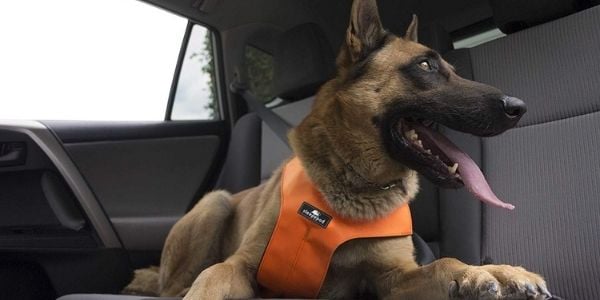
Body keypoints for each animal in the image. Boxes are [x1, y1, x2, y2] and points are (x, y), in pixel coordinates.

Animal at [124, 0, 552, 298]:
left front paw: (492, 272)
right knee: (174, 286)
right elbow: (213, 278)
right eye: (426, 66)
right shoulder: (240, 265)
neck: (354, 186)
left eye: (451, 68)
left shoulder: (392, 280)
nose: (518, 107)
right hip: (216, 202)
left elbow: (445, 262)